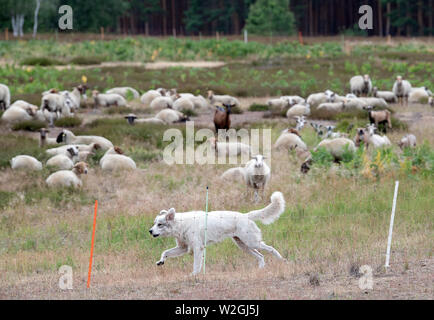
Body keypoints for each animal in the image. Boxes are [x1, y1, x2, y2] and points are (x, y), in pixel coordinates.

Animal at [149, 191, 284, 274]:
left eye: (159, 224)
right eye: (154, 223)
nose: (150, 231)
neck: (181, 224)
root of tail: (246, 215)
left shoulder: (198, 248)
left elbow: (196, 265)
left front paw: (193, 275)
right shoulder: (183, 248)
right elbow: (165, 252)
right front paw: (161, 261)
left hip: (252, 243)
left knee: (271, 249)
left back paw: (282, 260)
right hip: (244, 245)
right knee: (261, 256)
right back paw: (261, 269)